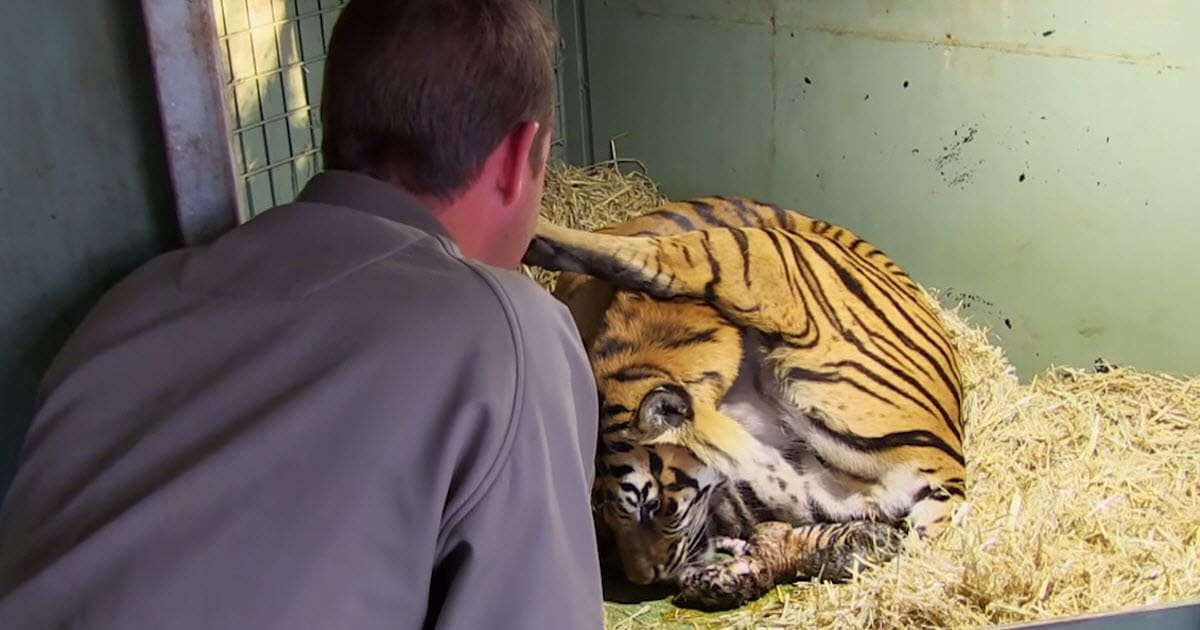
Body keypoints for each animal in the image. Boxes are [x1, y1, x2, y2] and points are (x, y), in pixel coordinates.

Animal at [532, 195, 964, 604]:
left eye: (651, 507)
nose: (644, 578)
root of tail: (952, 469)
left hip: (754, 261)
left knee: (648, 257)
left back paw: (538, 234)